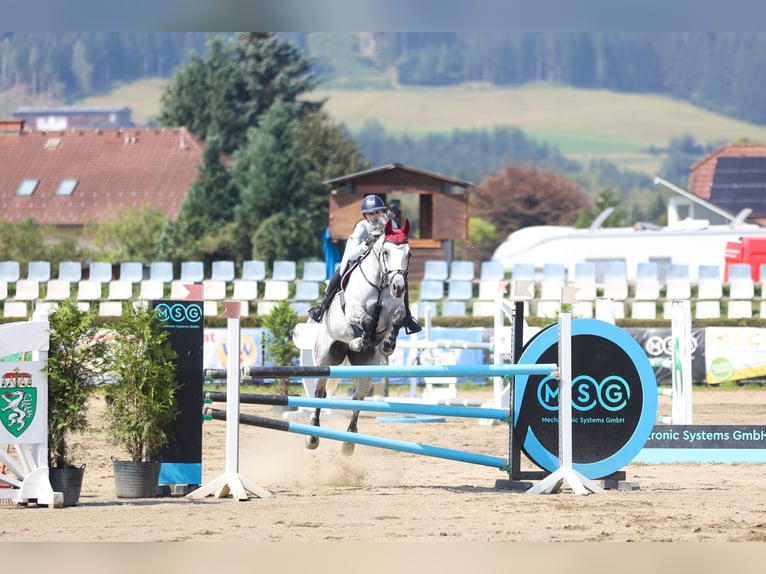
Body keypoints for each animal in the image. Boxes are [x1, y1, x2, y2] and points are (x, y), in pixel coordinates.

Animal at [308, 219, 414, 454]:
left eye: (409, 254)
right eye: (385, 252)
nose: (398, 287)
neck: (381, 284)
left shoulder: (396, 310)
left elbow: (398, 319)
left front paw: (388, 344)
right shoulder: (354, 311)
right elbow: (366, 322)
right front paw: (361, 340)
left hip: (365, 369)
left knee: (358, 397)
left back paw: (349, 441)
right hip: (324, 359)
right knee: (320, 392)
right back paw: (313, 435)